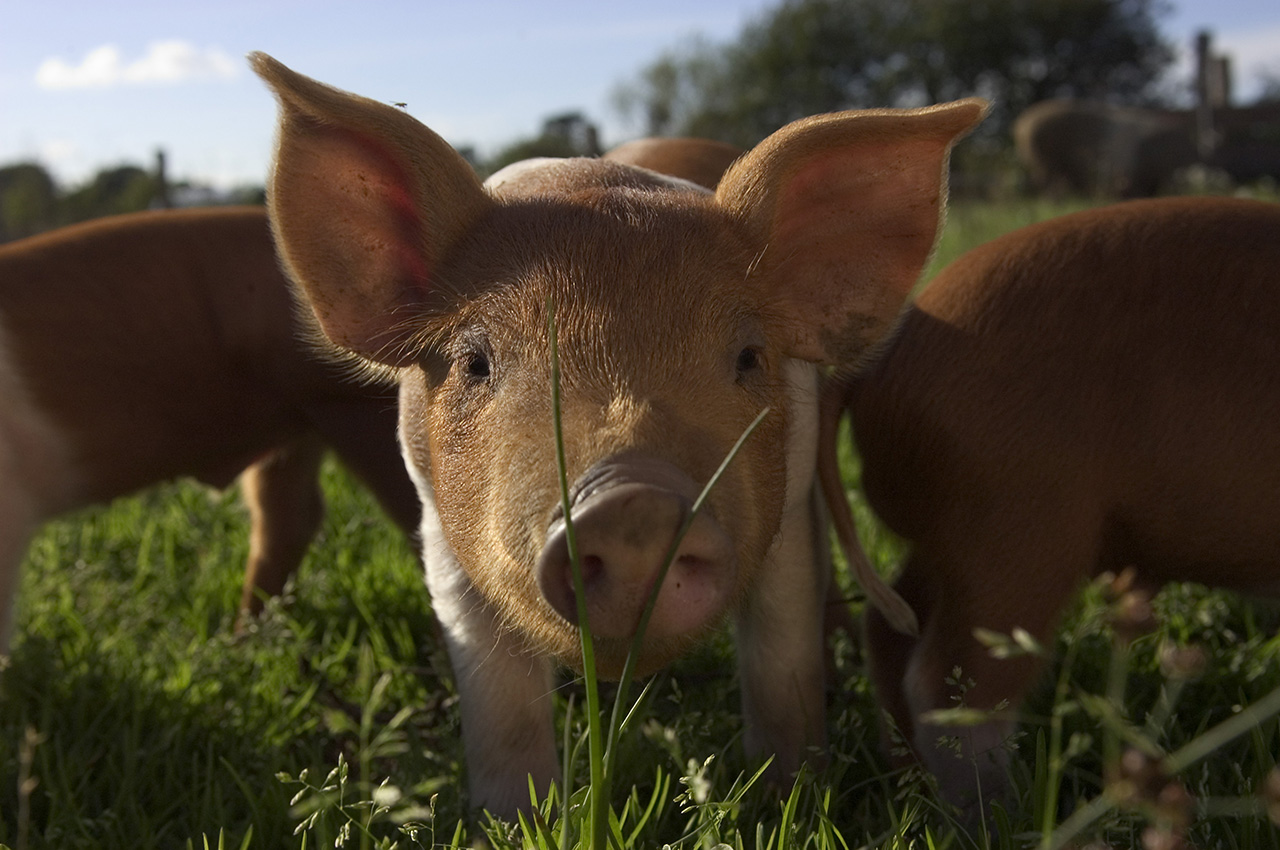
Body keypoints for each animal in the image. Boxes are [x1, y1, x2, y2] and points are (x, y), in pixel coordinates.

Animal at [252, 53, 977, 819]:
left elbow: (782, 662)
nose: (634, 504)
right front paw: (514, 820)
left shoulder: (791, 498)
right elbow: (500, 707)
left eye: (749, 358)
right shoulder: (440, 536)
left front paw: (789, 800)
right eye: (476, 362)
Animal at [849, 195, 1280, 814]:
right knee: (948, 684)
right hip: (1017, 529)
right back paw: (1002, 815)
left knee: (891, 628)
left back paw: (911, 789)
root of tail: (884, 356)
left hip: (950, 538)